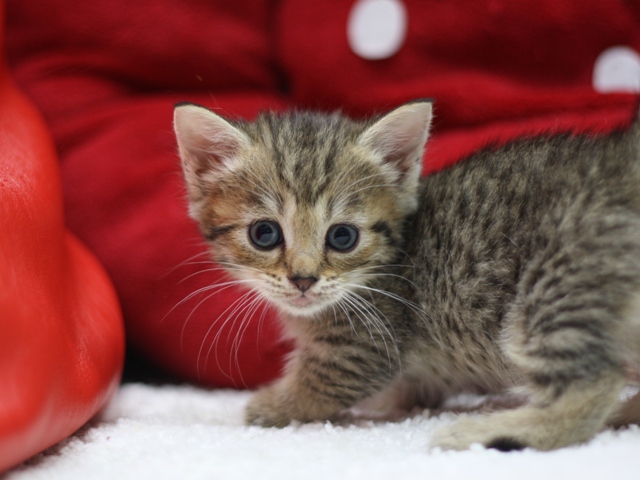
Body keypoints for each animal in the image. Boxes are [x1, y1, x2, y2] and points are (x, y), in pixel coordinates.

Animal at [172, 100, 640, 450]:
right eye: (264, 233)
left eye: (342, 236)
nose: (303, 279)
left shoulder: (368, 342)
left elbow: (325, 382)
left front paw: (274, 405)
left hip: (557, 280)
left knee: (594, 384)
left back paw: (487, 432)